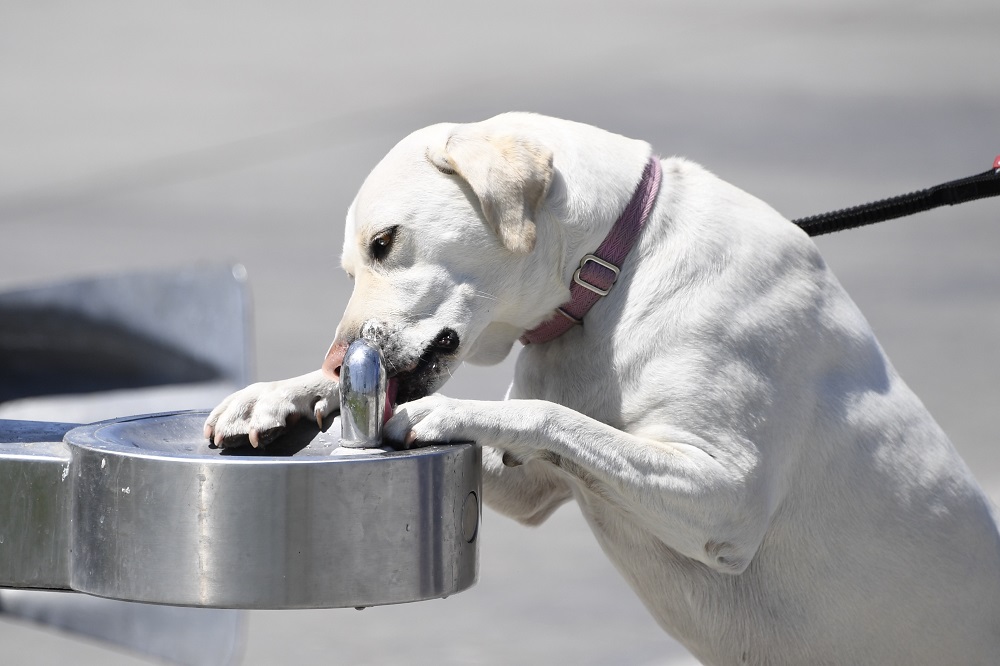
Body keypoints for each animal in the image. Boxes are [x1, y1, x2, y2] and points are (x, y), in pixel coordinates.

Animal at [205, 111, 1000, 660]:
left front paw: (444, 407)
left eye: (384, 243)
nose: (340, 365)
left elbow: (553, 415)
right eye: (351, 266)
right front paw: (280, 394)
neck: (616, 272)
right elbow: (556, 428)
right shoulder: (530, 486)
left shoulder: (726, 496)